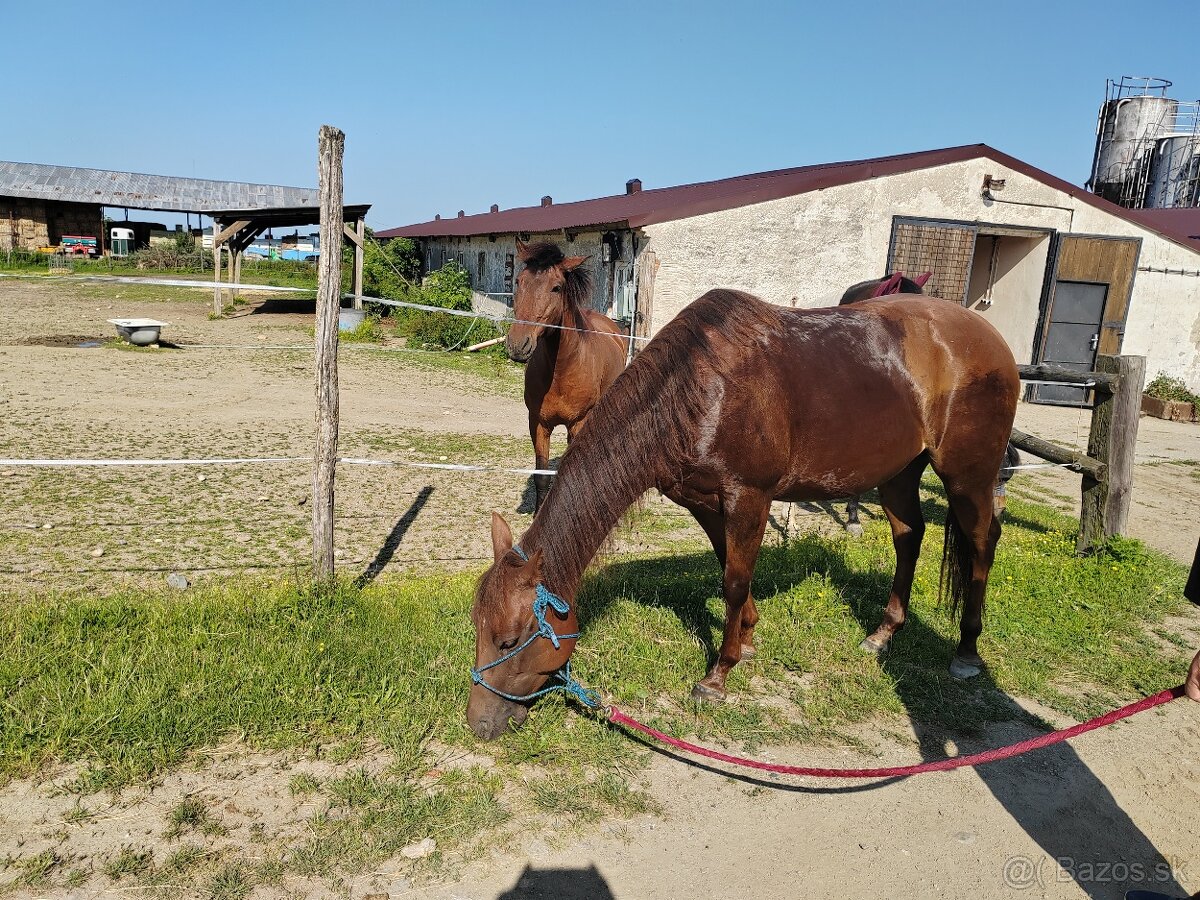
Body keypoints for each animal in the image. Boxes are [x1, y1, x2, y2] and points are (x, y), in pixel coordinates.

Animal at [469, 288, 1019, 740]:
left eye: (510, 639)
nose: (478, 724)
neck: (699, 389)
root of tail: (991, 338)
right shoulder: (704, 502)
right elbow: (731, 569)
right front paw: (749, 639)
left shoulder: (748, 497)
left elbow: (734, 581)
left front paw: (719, 673)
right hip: (899, 474)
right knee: (909, 537)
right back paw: (884, 632)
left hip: (967, 476)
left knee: (982, 542)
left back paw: (967, 650)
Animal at [505, 241, 627, 512]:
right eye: (518, 281)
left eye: (556, 287)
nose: (518, 345)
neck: (561, 371)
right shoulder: (538, 424)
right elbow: (541, 476)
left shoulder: (577, 423)